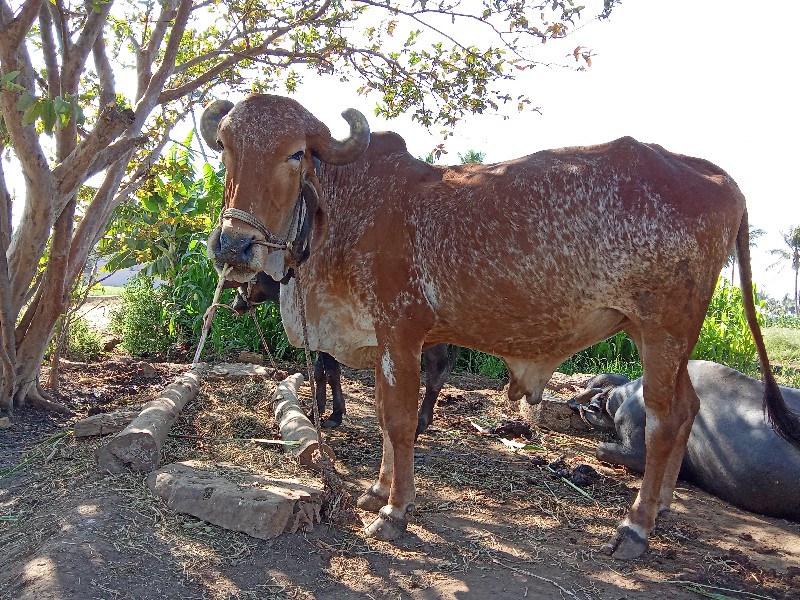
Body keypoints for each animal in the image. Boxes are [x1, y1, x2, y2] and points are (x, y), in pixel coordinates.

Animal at [228, 274, 460, 434]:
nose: (236, 304)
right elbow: (322, 372)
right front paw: (318, 411)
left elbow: (329, 372)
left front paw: (331, 414)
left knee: (436, 372)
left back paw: (420, 424)